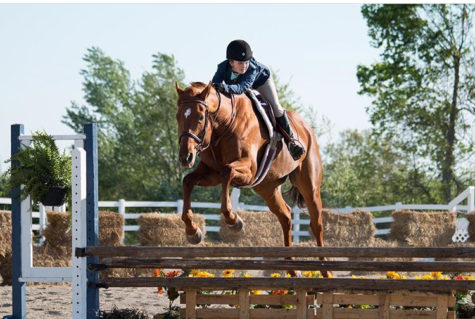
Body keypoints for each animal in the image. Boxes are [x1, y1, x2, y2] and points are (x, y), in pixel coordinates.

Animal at [175, 81, 328, 276]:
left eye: (201, 117)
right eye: (178, 116)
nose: (185, 157)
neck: (224, 124)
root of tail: (307, 128)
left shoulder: (248, 170)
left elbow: (227, 173)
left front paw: (234, 221)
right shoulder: (211, 173)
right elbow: (188, 181)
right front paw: (193, 232)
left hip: (309, 185)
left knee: (316, 223)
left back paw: (325, 269)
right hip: (267, 187)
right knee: (286, 216)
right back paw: (292, 268)